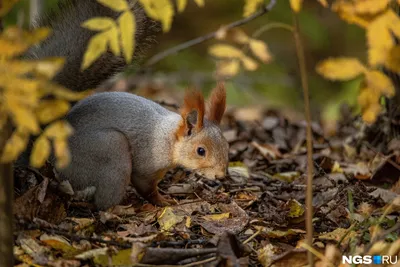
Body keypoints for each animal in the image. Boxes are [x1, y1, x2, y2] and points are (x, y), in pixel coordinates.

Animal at [23, 0, 230, 210]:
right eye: (200, 151)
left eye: (227, 145)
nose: (221, 176)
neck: (169, 137)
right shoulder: (148, 162)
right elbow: (145, 186)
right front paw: (162, 201)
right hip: (110, 151)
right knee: (103, 202)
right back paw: (120, 209)